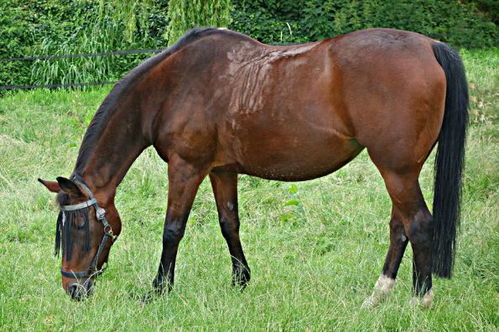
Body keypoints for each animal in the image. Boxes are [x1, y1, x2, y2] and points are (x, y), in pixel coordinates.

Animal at [39, 27, 468, 304]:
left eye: (79, 225)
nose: (72, 289)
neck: (171, 87)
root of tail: (430, 45)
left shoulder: (186, 167)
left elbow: (172, 230)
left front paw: (159, 290)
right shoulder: (221, 169)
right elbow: (229, 223)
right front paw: (241, 281)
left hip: (396, 170)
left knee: (418, 224)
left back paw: (419, 300)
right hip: (401, 171)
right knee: (400, 227)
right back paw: (378, 295)